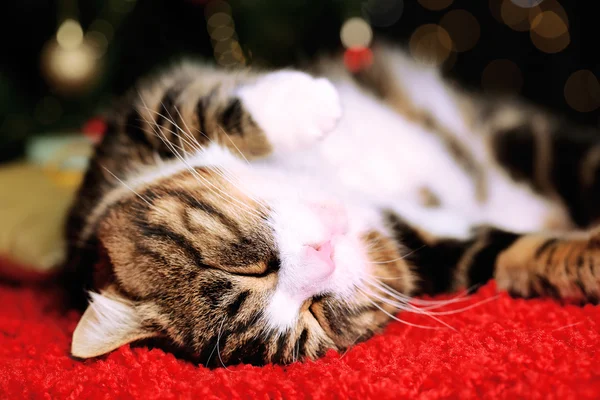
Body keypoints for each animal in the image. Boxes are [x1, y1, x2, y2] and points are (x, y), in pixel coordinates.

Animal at [64, 43, 600, 366]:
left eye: (248, 269)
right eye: (315, 314)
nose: (322, 257)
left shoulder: (129, 133)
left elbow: (197, 106)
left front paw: (312, 101)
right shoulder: (433, 249)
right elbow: (515, 253)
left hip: (527, 140)